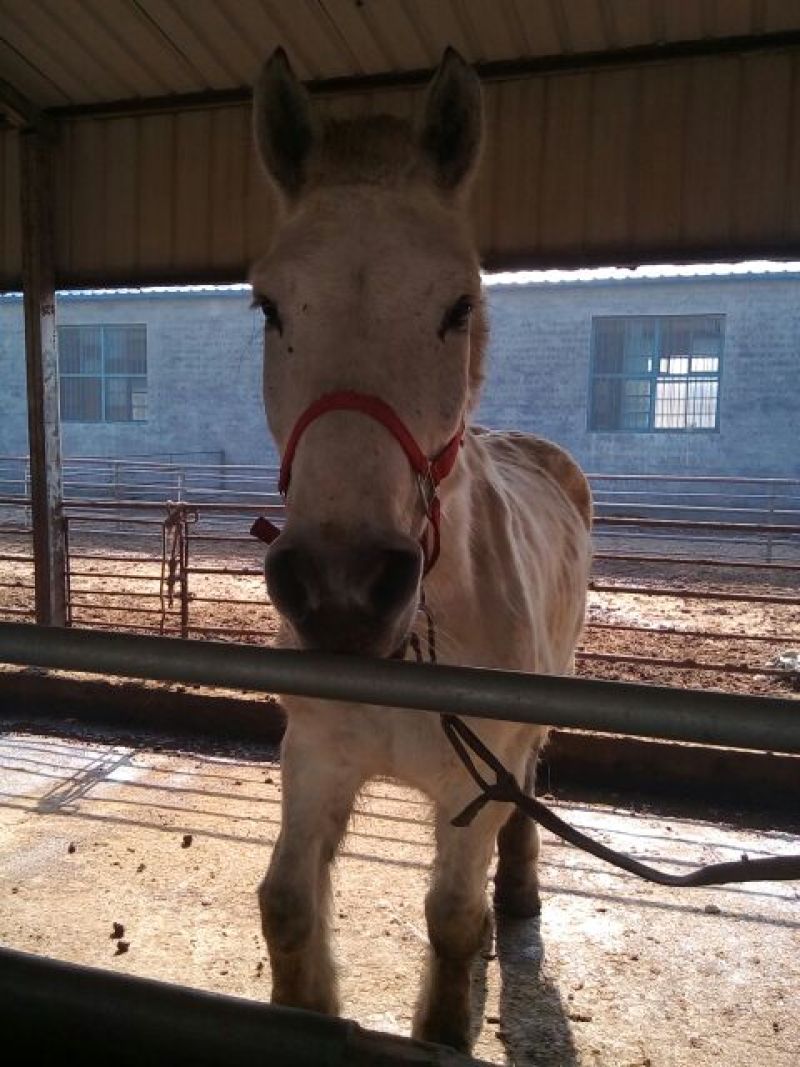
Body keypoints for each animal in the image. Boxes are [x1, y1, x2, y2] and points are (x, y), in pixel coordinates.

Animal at [250, 47, 592, 1053]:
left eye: (458, 305)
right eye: (269, 306)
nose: (341, 590)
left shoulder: (467, 788)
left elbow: (452, 917)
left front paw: (446, 1019)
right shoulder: (314, 756)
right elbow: (288, 905)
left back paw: (519, 895)